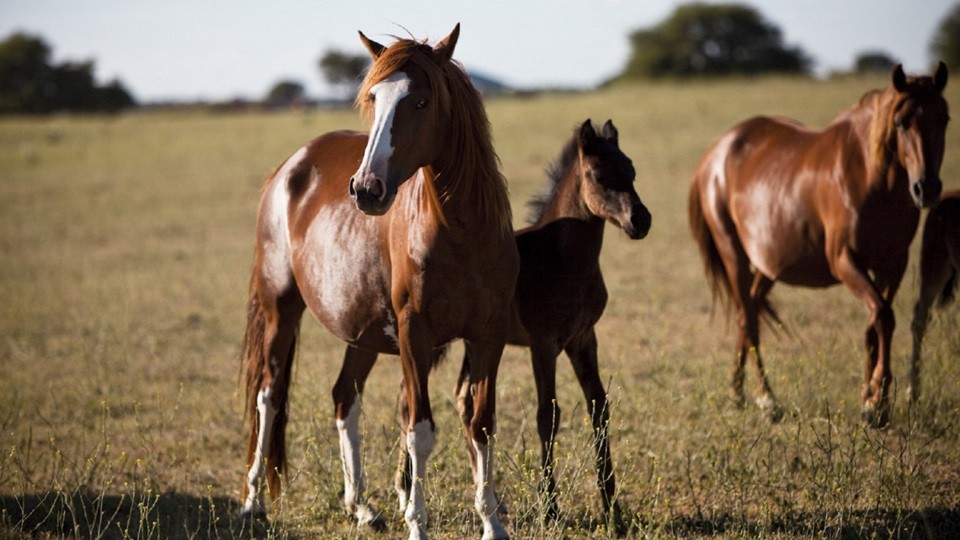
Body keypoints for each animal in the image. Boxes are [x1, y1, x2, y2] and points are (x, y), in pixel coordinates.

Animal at [239, 26, 516, 540]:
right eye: (373, 97)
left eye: (422, 101)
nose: (366, 189)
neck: (461, 234)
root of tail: (289, 167)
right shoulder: (414, 334)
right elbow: (419, 430)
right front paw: (418, 524)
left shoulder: (489, 336)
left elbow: (481, 424)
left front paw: (491, 523)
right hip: (280, 309)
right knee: (268, 396)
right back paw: (251, 503)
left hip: (361, 332)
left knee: (344, 398)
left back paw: (360, 505)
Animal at [396, 119, 652, 528]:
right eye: (598, 175)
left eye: (631, 170)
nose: (640, 220)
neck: (563, 259)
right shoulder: (543, 344)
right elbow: (547, 415)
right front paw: (550, 507)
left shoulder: (584, 338)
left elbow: (599, 407)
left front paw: (612, 506)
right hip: (430, 340)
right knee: (409, 403)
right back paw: (406, 494)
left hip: (472, 342)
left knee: (462, 399)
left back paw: (489, 499)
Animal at [688, 62, 948, 426]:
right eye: (901, 122)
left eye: (944, 118)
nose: (927, 188)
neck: (871, 179)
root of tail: (714, 154)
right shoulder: (844, 261)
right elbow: (883, 317)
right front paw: (876, 404)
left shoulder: (893, 263)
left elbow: (874, 324)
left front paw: (870, 398)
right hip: (733, 254)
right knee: (749, 319)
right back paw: (767, 400)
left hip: (768, 265)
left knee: (746, 312)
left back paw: (737, 393)